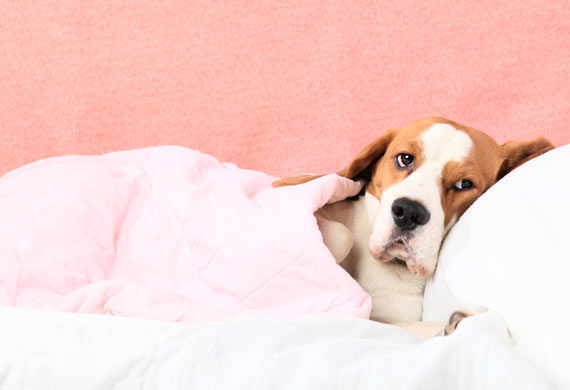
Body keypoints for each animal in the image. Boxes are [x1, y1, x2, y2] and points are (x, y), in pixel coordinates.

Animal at [270, 116, 552, 338]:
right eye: (405, 159)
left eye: (464, 184)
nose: (408, 213)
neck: (392, 267)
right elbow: (343, 234)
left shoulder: (385, 318)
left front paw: (456, 325)